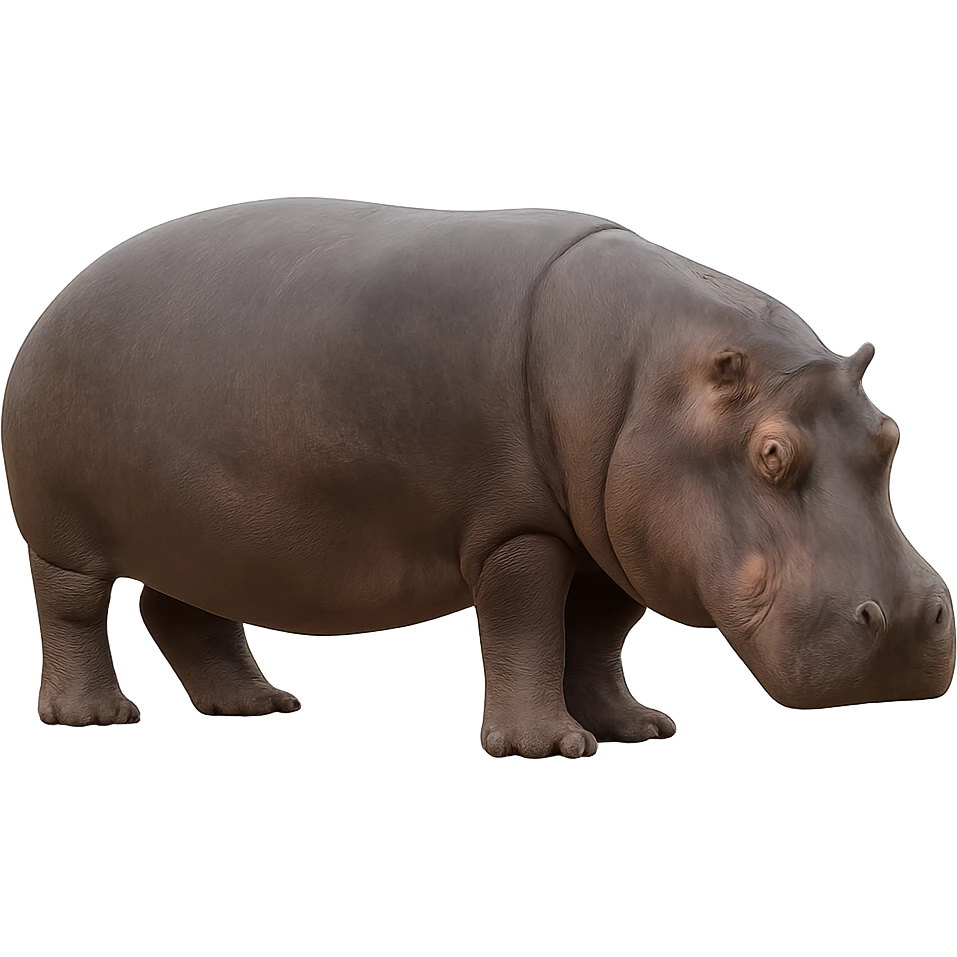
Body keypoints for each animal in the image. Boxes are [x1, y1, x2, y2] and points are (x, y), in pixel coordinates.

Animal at [4, 199, 954, 752]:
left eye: (891, 436)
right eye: (770, 452)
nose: (909, 620)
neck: (648, 376)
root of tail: (60, 294)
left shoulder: (610, 537)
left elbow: (596, 637)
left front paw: (639, 726)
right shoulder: (517, 529)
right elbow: (529, 628)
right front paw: (548, 745)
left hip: (201, 529)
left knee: (184, 612)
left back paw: (257, 703)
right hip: (64, 531)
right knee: (74, 608)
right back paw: (95, 716)